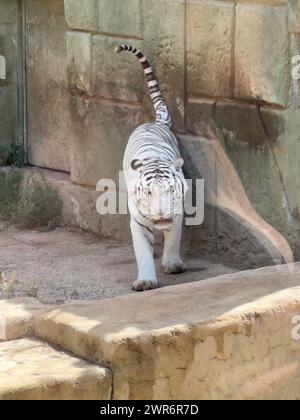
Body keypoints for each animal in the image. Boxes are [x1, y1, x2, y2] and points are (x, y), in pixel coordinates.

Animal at [115, 44, 188, 290]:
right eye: (148, 192)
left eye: (170, 190)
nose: (161, 214)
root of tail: (155, 123)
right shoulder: (137, 222)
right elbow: (143, 252)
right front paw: (146, 281)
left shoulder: (177, 213)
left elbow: (173, 239)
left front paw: (172, 264)